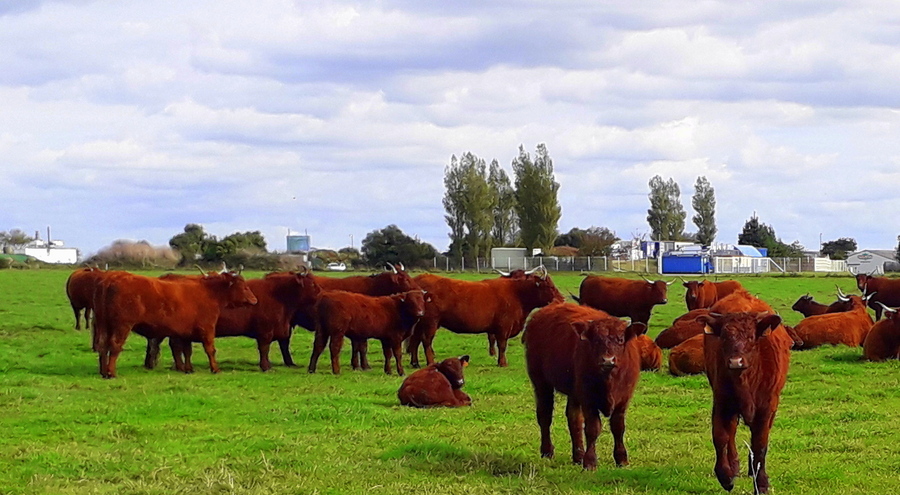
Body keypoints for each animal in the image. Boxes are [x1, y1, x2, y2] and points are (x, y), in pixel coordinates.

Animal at [92, 272, 256, 380]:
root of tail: (111, 278)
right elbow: (210, 350)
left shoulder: (185, 333)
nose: (254, 300)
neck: (208, 292)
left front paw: (188, 369)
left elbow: (187, 351)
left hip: (104, 325)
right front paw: (215, 369)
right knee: (115, 346)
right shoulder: (207, 328)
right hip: (122, 326)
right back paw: (111, 373)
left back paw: (103, 371)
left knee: (103, 346)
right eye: (244, 287)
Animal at [408, 268, 564, 368]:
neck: (517, 293)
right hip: (430, 323)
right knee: (426, 342)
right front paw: (502, 363)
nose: (562, 299)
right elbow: (502, 345)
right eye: (549, 286)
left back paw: (415, 363)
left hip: (420, 323)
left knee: (415, 341)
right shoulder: (503, 327)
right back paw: (430, 362)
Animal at [524, 304, 644, 470]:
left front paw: (621, 459)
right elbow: (592, 429)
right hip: (541, 383)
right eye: (596, 341)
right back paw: (547, 451)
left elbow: (618, 427)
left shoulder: (623, 400)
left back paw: (578, 456)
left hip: (573, 393)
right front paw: (590, 462)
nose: (608, 360)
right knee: (545, 415)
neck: (609, 380)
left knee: (574, 419)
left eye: (620, 340)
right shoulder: (588, 400)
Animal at [700, 292, 792, 494]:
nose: (736, 362)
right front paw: (725, 476)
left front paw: (761, 482)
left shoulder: (767, 406)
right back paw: (734, 465)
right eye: (724, 337)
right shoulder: (721, 402)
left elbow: (760, 444)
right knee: (731, 432)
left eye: (751, 336)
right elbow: (720, 437)